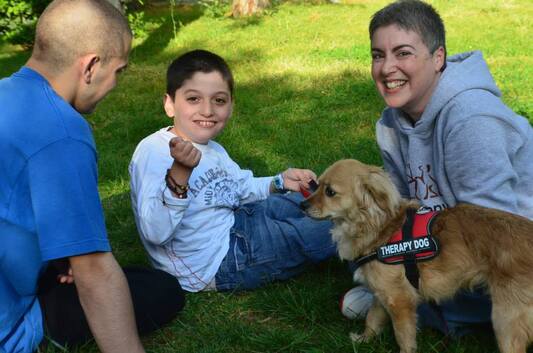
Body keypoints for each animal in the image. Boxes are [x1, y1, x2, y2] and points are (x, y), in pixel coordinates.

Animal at [302, 159, 532, 352]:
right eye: (316, 185)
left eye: (330, 192)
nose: (301, 205)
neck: (377, 228)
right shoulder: (381, 293)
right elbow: (372, 319)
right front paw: (364, 340)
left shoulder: (400, 300)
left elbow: (403, 336)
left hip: (505, 321)